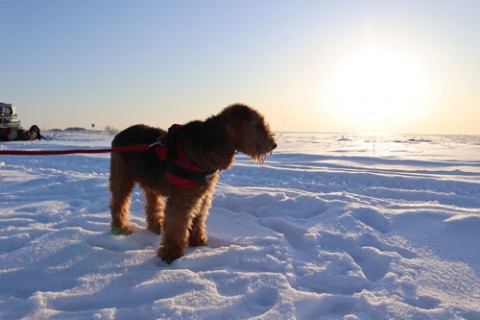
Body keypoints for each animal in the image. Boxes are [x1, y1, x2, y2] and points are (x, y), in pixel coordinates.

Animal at [107, 102, 276, 262]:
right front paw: (170, 254)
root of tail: (118, 135)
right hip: (121, 176)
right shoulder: (182, 199)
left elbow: (198, 220)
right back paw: (121, 228)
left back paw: (156, 226)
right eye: (257, 125)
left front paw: (198, 242)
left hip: (150, 181)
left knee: (152, 204)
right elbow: (176, 227)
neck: (211, 143)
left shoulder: (203, 195)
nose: (274, 144)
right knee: (118, 203)